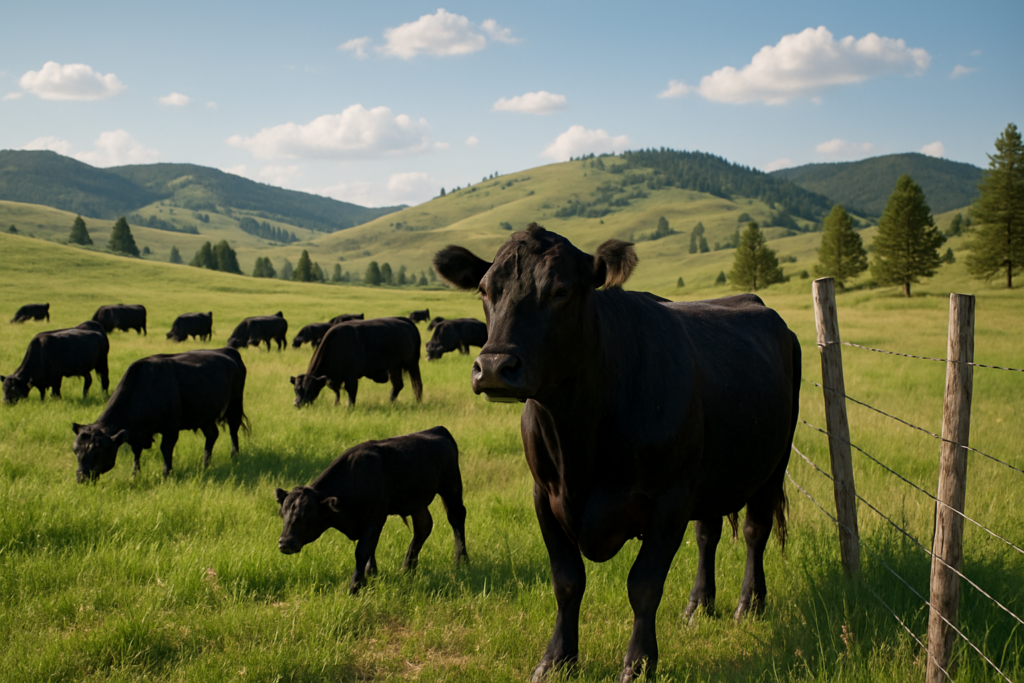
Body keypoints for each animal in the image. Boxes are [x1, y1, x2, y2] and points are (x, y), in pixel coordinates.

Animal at [71, 347, 248, 482]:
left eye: (99, 451)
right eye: (75, 450)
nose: (81, 477)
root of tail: (227, 351)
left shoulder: (171, 428)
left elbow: (166, 449)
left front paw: (166, 474)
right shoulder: (135, 433)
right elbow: (136, 452)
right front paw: (135, 474)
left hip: (234, 406)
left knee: (233, 431)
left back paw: (234, 456)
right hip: (204, 416)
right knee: (212, 435)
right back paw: (205, 464)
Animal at [275, 425, 468, 594]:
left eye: (306, 515)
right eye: (283, 514)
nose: (285, 543)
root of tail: (438, 429)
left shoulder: (375, 518)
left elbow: (363, 550)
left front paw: (355, 586)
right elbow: (370, 549)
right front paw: (371, 575)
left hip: (451, 487)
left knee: (456, 518)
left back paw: (461, 560)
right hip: (417, 502)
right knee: (423, 526)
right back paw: (407, 567)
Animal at [290, 317, 422, 408]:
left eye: (309, 389)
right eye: (296, 389)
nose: (297, 403)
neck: (336, 344)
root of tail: (406, 322)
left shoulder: (351, 376)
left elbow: (351, 392)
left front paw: (350, 407)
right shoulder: (333, 379)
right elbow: (337, 392)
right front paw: (336, 404)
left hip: (411, 365)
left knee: (416, 385)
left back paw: (417, 402)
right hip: (394, 368)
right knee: (398, 385)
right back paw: (391, 403)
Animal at [433, 223, 800, 682]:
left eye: (560, 290)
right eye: (485, 289)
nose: (496, 367)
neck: (578, 441)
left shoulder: (668, 500)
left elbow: (643, 586)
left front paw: (639, 663)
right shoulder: (544, 495)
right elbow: (567, 581)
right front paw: (557, 659)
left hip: (772, 464)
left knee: (755, 532)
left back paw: (749, 604)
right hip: (710, 474)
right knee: (707, 534)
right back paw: (698, 605)